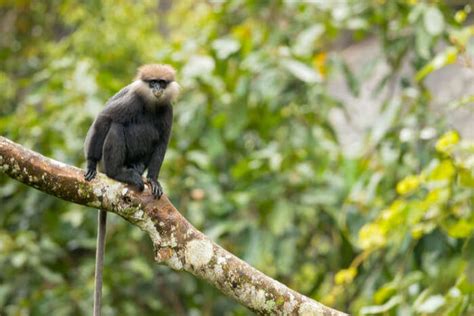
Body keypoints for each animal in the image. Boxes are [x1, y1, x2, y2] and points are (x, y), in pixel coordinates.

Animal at [83, 64, 180, 316]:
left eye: (162, 83)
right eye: (152, 82)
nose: (157, 89)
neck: (152, 105)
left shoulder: (168, 111)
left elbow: (162, 142)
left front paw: (154, 180)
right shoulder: (132, 100)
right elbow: (105, 117)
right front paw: (89, 164)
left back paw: (136, 169)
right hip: (107, 160)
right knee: (117, 126)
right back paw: (120, 173)